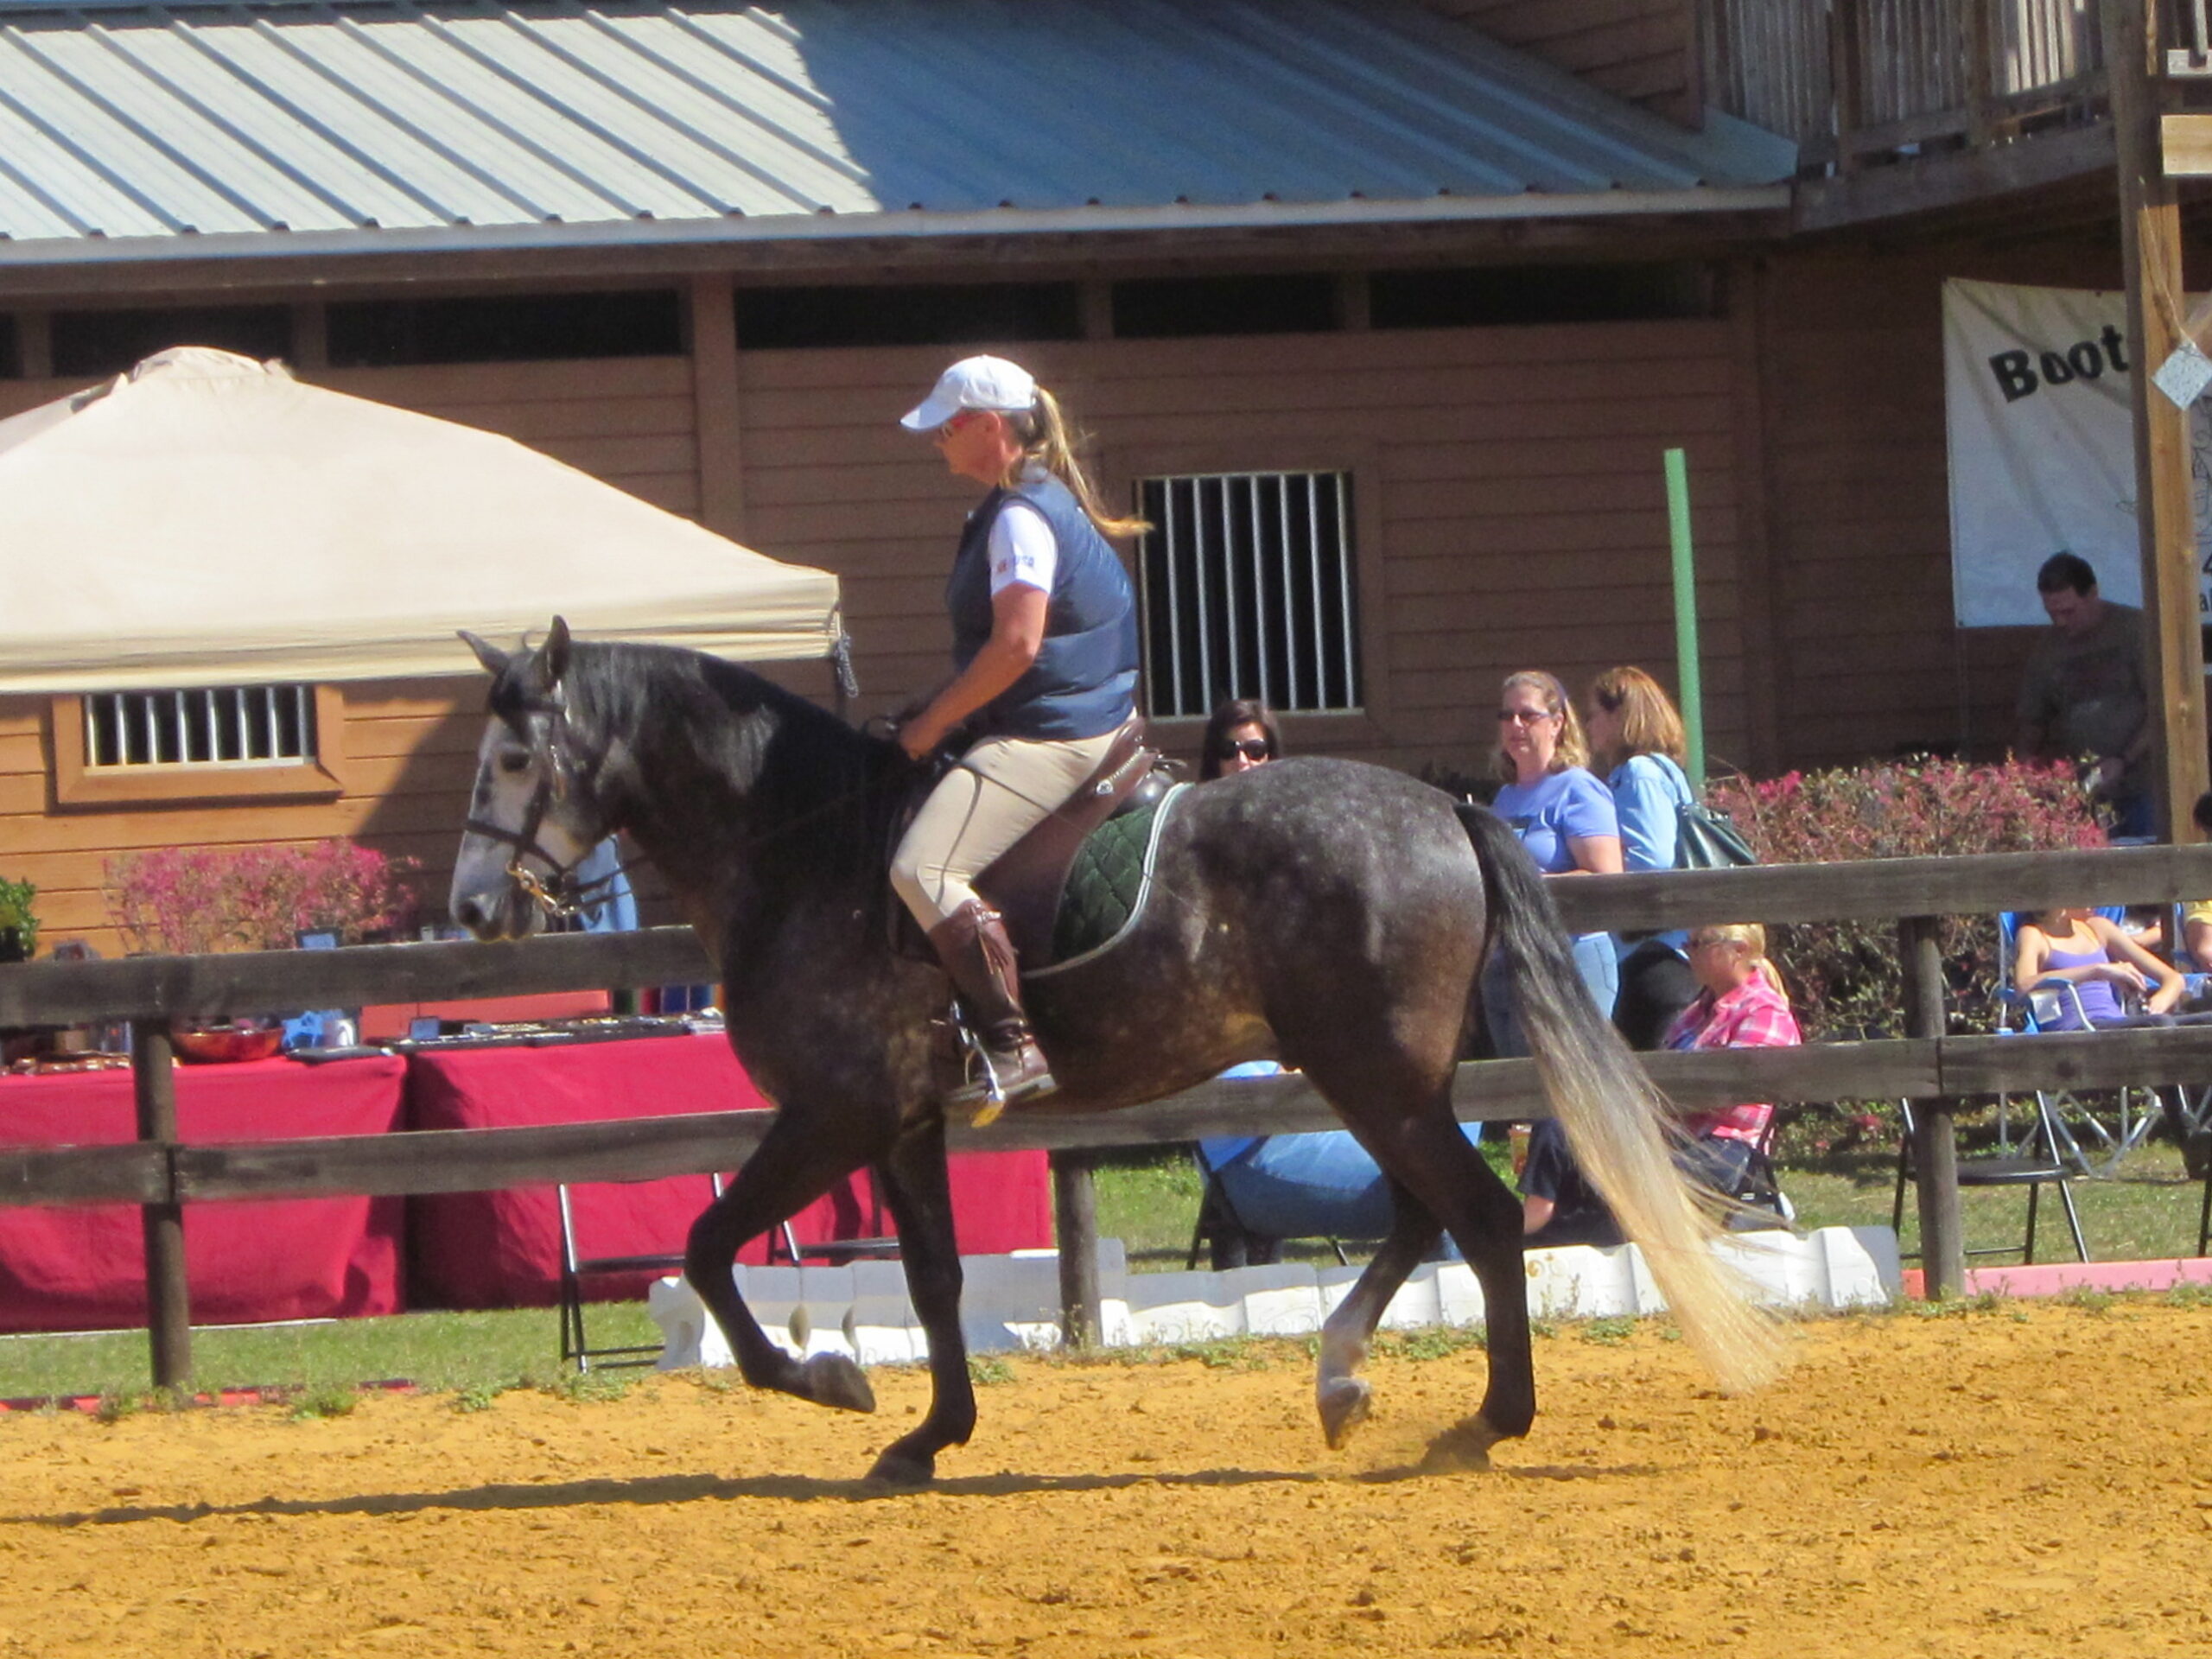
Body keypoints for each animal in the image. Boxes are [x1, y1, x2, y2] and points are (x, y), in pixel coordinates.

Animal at [450, 619, 1780, 1483]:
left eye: (515, 760)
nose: (469, 910)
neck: (801, 843)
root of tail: (1447, 808)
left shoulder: (834, 1112)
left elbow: (711, 1247)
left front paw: (830, 1380)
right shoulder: (904, 1121)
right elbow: (932, 1281)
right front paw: (928, 1437)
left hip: (1372, 1073)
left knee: (1485, 1218)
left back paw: (1481, 1425)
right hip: (1377, 1075)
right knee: (1424, 1217)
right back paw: (1343, 1380)